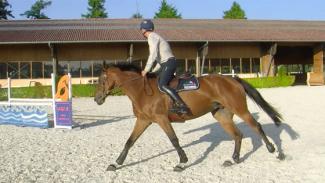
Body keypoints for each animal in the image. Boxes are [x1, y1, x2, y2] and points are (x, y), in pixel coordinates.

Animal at [93, 63, 280, 172]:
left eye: (101, 79)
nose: (97, 99)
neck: (141, 90)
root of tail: (233, 80)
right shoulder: (144, 120)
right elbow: (129, 142)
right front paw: (116, 163)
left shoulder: (161, 119)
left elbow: (174, 140)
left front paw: (182, 162)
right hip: (222, 115)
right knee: (238, 135)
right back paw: (233, 159)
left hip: (240, 109)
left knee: (256, 126)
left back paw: (275, 151)